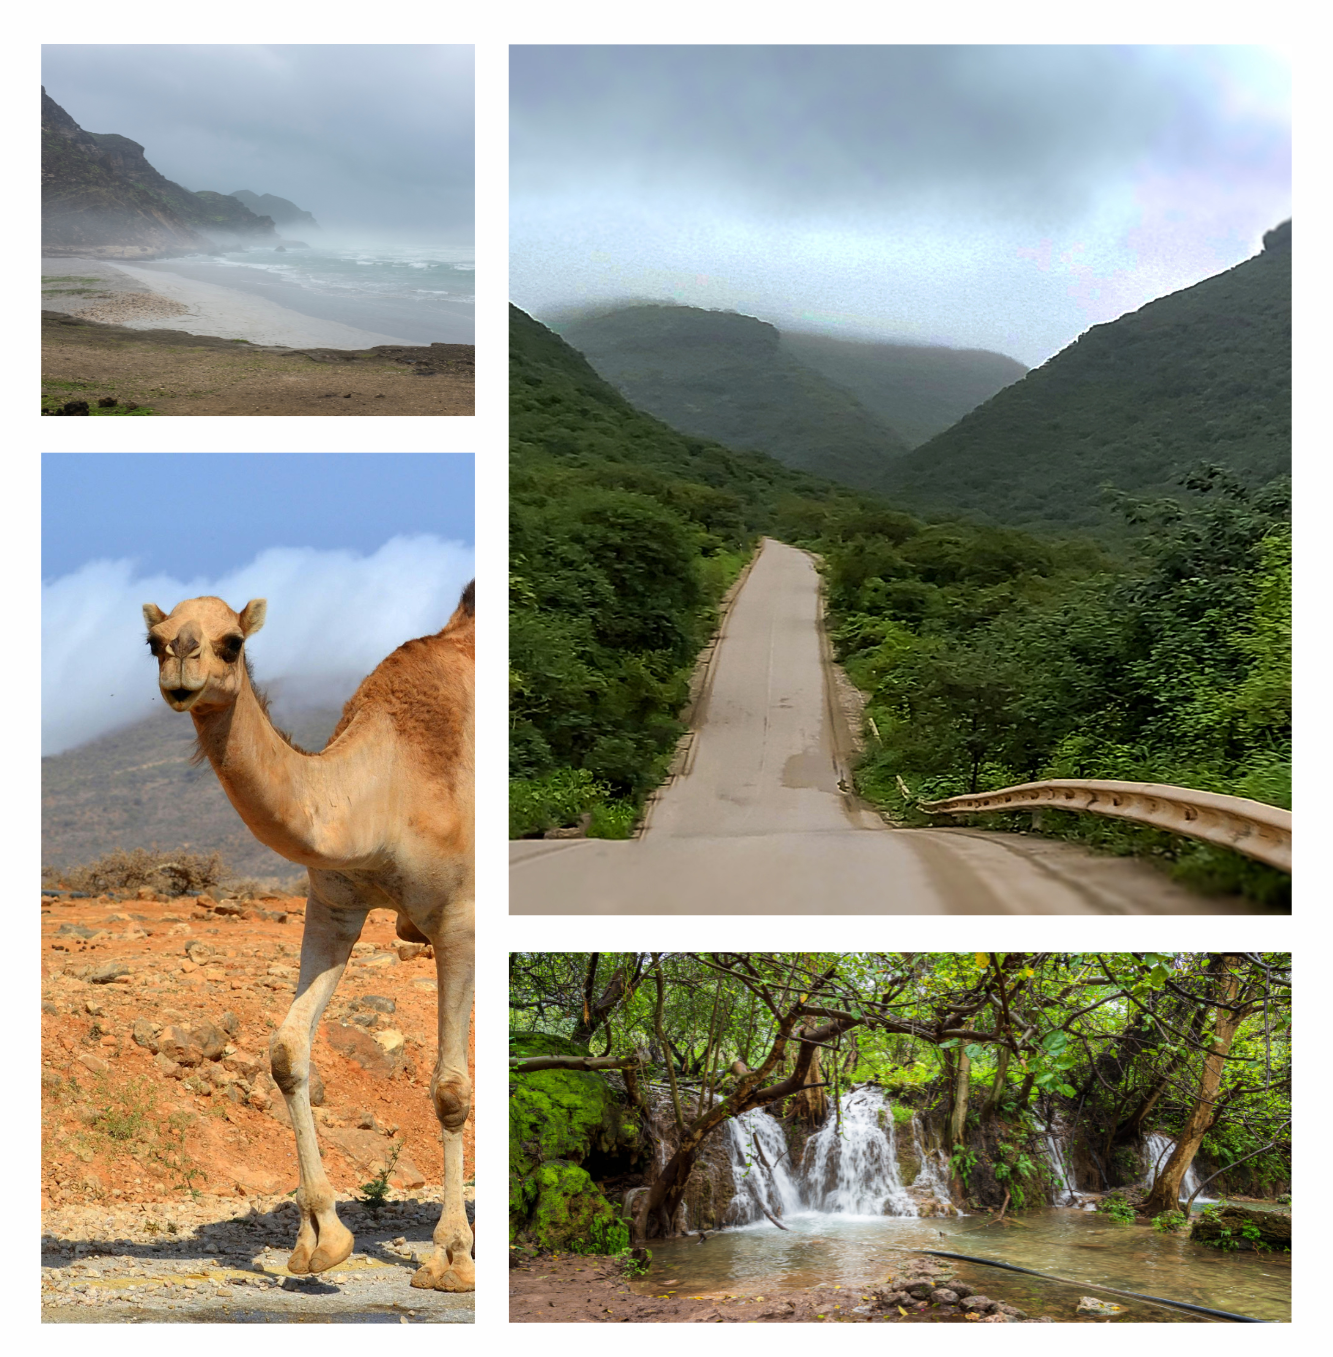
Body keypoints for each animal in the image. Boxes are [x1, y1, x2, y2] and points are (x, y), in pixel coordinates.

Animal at [142, 583, 475, 1291]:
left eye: (231, 642)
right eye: (153, 642)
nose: (180, 664)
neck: (389, 786)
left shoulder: (461, 918)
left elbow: (449, 1089)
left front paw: (451, 1257)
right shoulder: (333, 903)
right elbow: (286, 1052)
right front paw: (320, 1240)